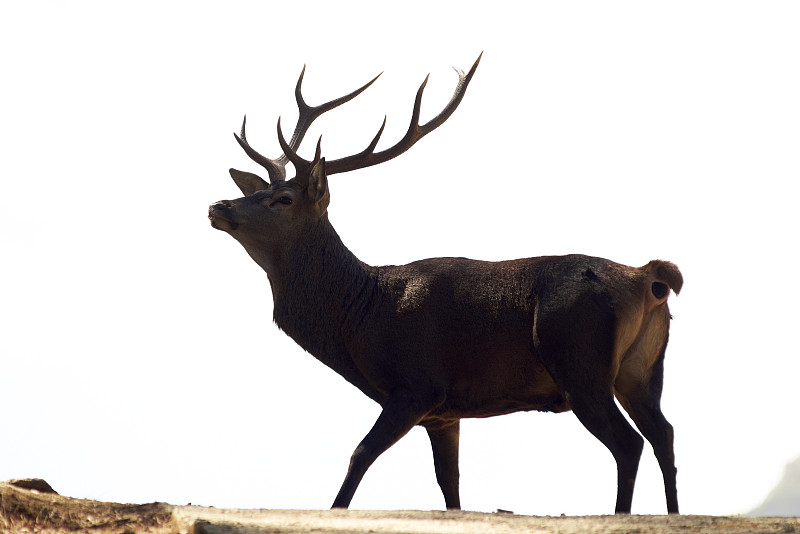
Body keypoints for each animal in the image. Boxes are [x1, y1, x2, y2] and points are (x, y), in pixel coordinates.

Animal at [206, 53, 680, 516]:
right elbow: (449, 486)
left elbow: (359, 455)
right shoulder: (445, 413)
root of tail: (648, 277)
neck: (361, 316)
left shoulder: (418, 385)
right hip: (640, 371)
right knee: (664, 433)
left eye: (282, 199)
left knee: (629, 443)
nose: (218, 205)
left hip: (580, 362)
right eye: (256, 191)